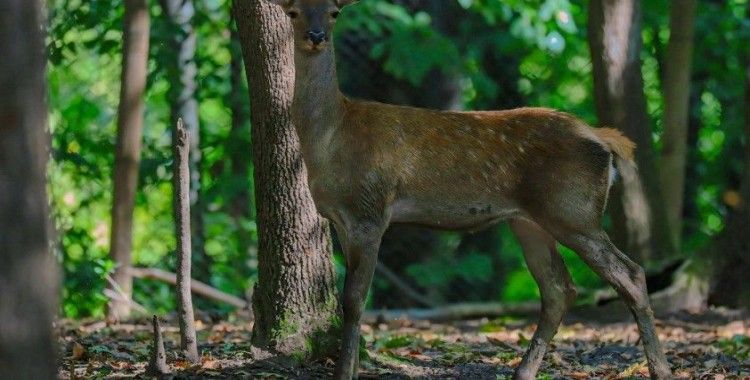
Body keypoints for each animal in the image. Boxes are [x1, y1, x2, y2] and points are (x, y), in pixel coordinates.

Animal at [262, 1, 676, 378]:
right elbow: (353, 299)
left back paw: (660, 369)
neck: (331, 139)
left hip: (574, 210)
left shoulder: (371, 210)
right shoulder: (340, 219)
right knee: (559, 288)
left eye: (334, 12)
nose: (316, 36)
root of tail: (603, 139)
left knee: (630, 274)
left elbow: (354, 300)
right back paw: (523, 371)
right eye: (294, 12)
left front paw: (344, 372)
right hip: (529, 221)